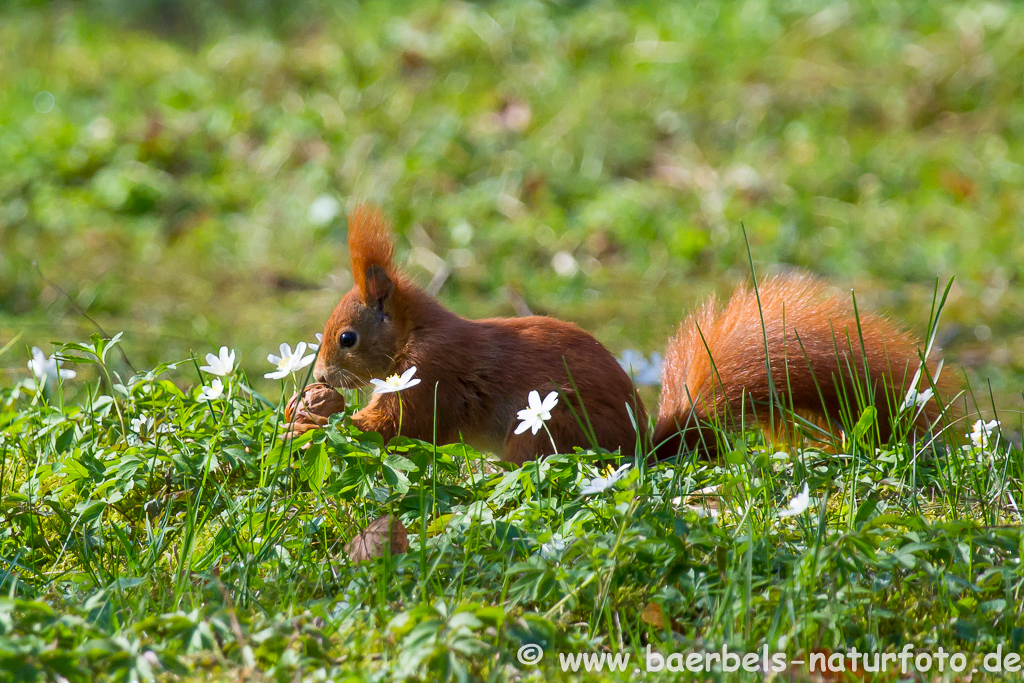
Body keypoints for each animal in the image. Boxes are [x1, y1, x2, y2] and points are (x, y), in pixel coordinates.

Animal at [311, 206, 942, 464]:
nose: (317, 375)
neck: (415, 334)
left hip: (546, 434)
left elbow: (407, 422)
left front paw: (321, 416)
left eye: (346, 339)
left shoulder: (436, 371)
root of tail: (640, 448)